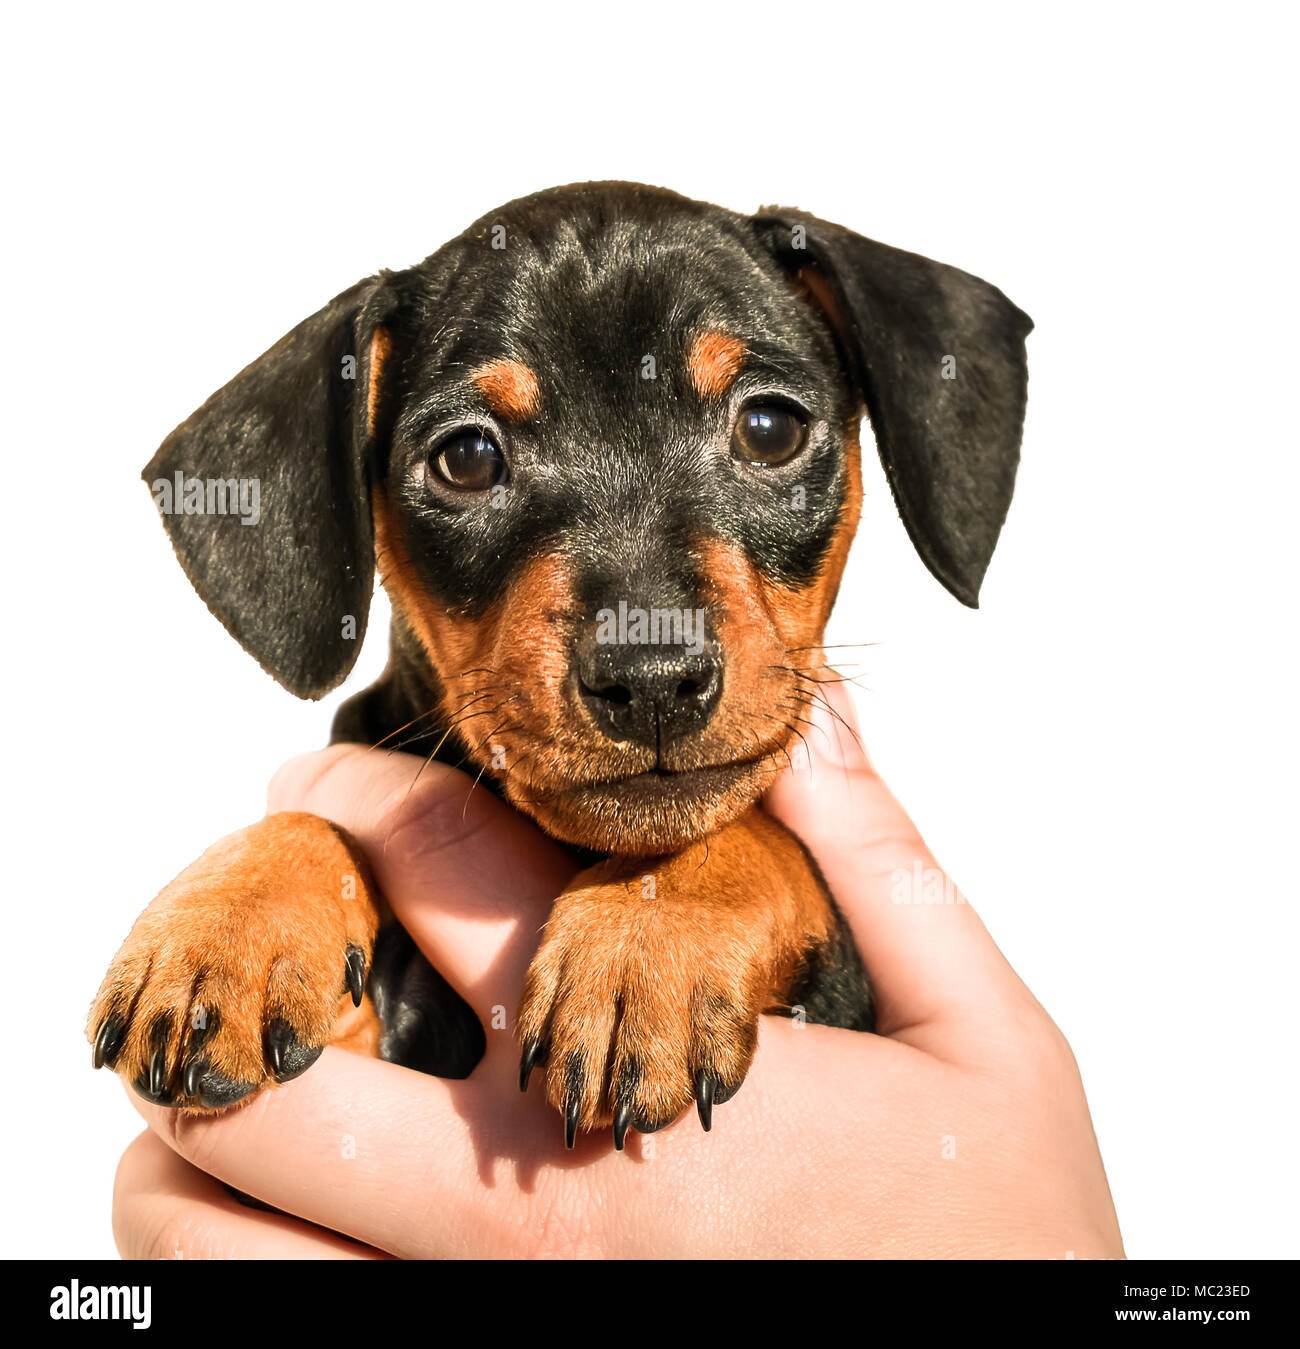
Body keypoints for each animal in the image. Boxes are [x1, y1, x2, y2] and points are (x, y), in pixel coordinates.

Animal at [86, 179, 1030, 1149]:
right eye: (466, 458)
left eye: (770, 427)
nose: (650, 678)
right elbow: (320, 814)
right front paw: (227, 921)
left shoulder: (847, 983)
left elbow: (760, 833)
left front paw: (647, 941)